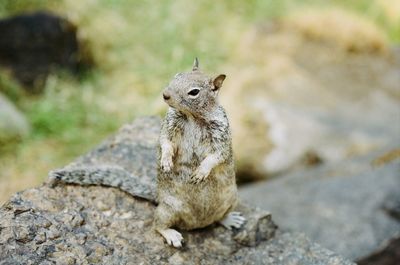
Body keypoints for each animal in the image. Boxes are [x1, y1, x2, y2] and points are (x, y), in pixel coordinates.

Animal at [155, 58, 244, 248]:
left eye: (194, 92)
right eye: (176, 76)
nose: (165, 95)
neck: (192, 117)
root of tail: (197, 225)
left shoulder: (221, 136)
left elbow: (217, 155)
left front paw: (200, 173)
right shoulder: (169, 126)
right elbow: (165, 142)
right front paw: (166, 161)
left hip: (232, 200)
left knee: (219, 218)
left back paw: (230, 220)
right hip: (167, 210)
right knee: (157, 224)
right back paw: (172, 235)